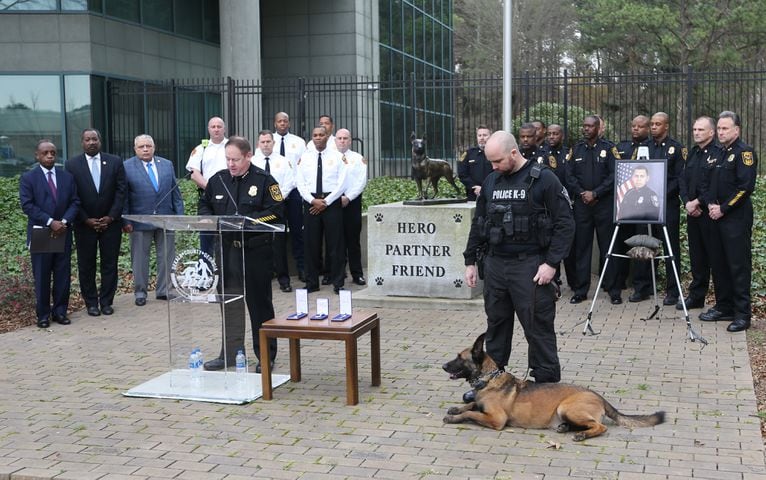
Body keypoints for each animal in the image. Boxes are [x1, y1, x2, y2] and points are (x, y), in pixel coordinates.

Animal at [444, 336, 664, 440]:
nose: (443, 366)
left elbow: (471, 414)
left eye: (459, 358)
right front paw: (457, 408)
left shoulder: (496, 419)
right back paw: (566, 427)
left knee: (600, 427)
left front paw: (454, 417)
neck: (489, 379)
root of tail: (598, 396)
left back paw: (582, 434)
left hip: (566, 408)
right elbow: (471, 405)